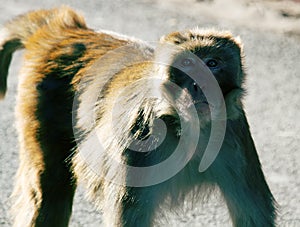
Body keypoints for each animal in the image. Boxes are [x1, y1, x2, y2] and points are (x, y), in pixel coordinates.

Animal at [0, 5, 276, 227]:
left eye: (212, 64)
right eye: (187, 64)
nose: (199, 85)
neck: (186, 128)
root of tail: (67, 32)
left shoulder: (235, 135)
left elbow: (252, 217)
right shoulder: (138, 142)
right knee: (50, 186)